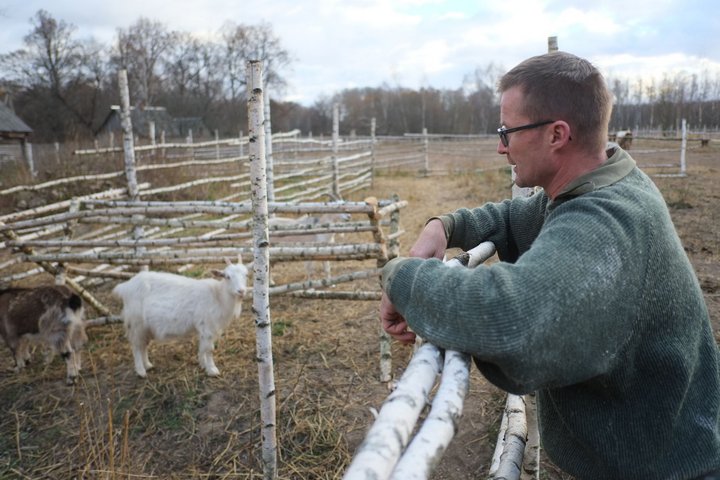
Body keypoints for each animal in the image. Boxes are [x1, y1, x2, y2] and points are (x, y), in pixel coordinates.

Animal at [111, 256, 249, 376]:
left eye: (246, 275)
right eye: (227, 276)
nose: (241, 291)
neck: (218, 296)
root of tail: (125, 287)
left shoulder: (203, 328)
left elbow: (202, 348)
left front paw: (203, 364)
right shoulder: (208, 327)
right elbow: (209, 349)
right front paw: (212, 370)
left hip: (145, 327)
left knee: (143, 345)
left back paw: (148, 365)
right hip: (135, 322)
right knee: (136, 346)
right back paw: (141, 371)